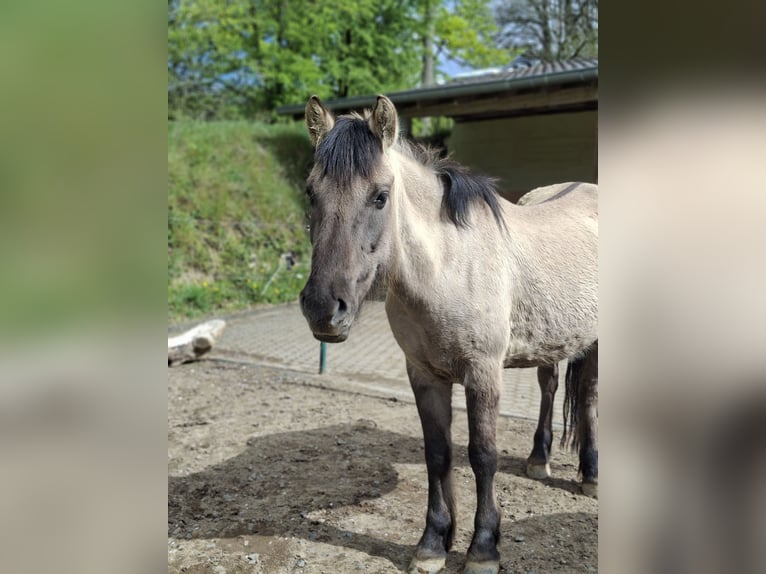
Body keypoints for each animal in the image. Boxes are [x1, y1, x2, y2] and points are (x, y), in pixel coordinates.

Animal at [299, 94, 598, 574]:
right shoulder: (424, 374)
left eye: (380, 196)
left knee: (586, 397)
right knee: (549, 388)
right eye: (312, 192)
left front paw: (483, 548)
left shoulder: (483, 374)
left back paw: (591, 474)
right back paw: (538, 461)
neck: (449, 266)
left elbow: (483, 454)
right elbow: (437, 453)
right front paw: (433, 542)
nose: (324, 308)